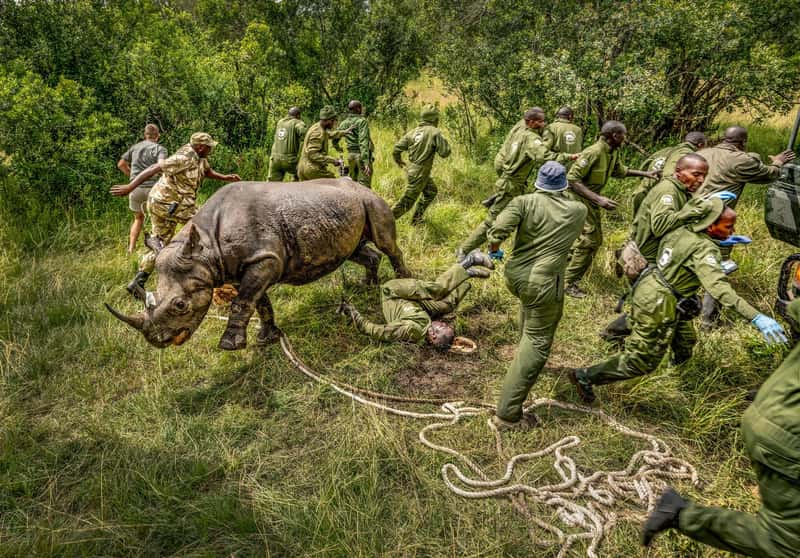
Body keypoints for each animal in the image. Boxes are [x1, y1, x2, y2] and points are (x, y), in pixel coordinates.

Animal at [106, 179, 411, 350]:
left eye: (180, 305)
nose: (158, 341)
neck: (205, 246)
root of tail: (359, 184)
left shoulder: (263, 259)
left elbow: (242, 302)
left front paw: (230, 345)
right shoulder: (242, 267)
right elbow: (258, 302)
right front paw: (267, 338)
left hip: (370, 200)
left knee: (386, 243)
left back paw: (402, 280)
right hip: (344, 207)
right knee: (355, 250)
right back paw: (368, 286)